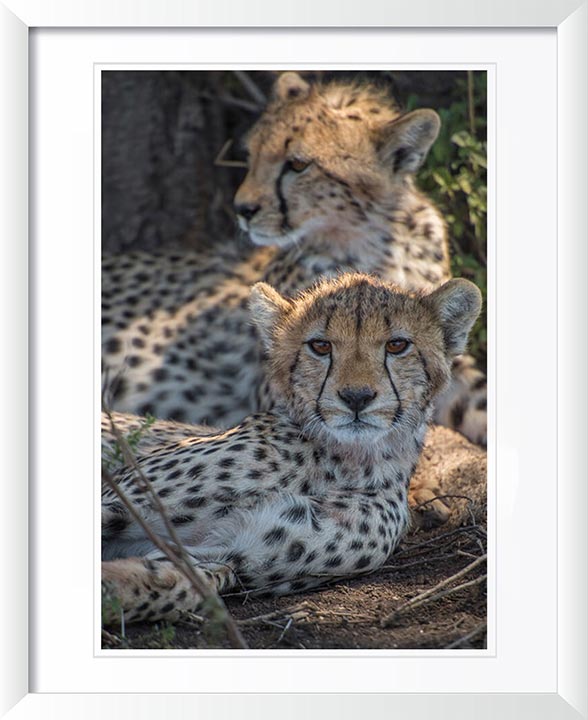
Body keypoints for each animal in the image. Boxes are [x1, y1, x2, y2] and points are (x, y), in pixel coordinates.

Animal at [102, 272, 482, 625]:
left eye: (397, 345)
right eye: (321, 346)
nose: (356, 397)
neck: (340, 463)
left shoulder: (231, 554)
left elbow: (187, 584)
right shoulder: (118, 495)